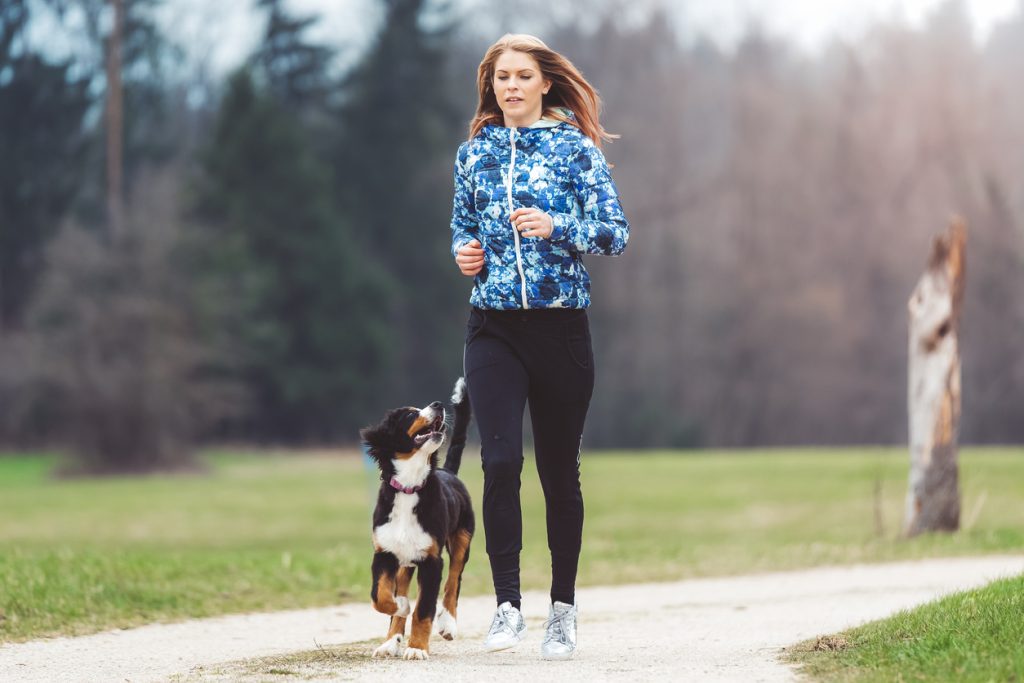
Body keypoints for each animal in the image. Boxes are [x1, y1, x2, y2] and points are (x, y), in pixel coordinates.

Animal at [358, 376, 473, 659]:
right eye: (410, 414)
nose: (438, 404)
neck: (409, 487)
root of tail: (448, 472)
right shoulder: (384, 553)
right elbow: (380, 596)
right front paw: (400, 606)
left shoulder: (432, 560)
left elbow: (423, 609)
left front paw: (418, 648)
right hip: (405, 561)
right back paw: (390, 642)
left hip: (462, 538)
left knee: (454, 581)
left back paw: (448, 624)